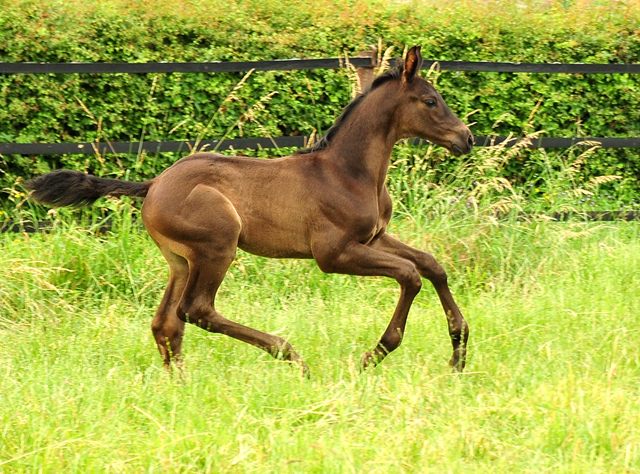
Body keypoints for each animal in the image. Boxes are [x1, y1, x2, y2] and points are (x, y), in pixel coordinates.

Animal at [26, 46, 476, 376]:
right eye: (431, 101)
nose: (467, 138)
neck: (347, 172)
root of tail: (152, 185)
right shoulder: (333, 254)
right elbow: (409, 275)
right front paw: (374, 354)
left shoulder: (374, 237)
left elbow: (431, 265)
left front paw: (458, 352)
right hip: (217, 246)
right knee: (197, 310)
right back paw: (290, 355)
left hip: (181, 260)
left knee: (166, 322)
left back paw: (180, 385)